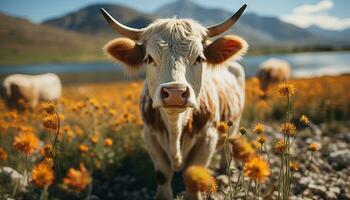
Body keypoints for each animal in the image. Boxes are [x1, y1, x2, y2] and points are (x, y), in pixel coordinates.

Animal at [100, 5, 249, 200]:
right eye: (149, 58)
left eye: (200, 58)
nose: (175, 92)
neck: (175, 126)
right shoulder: (150, 135)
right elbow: (163, 174)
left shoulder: (207, 137)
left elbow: (193, 175)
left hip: (235, 124)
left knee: (229, 146)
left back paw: (226, 171)